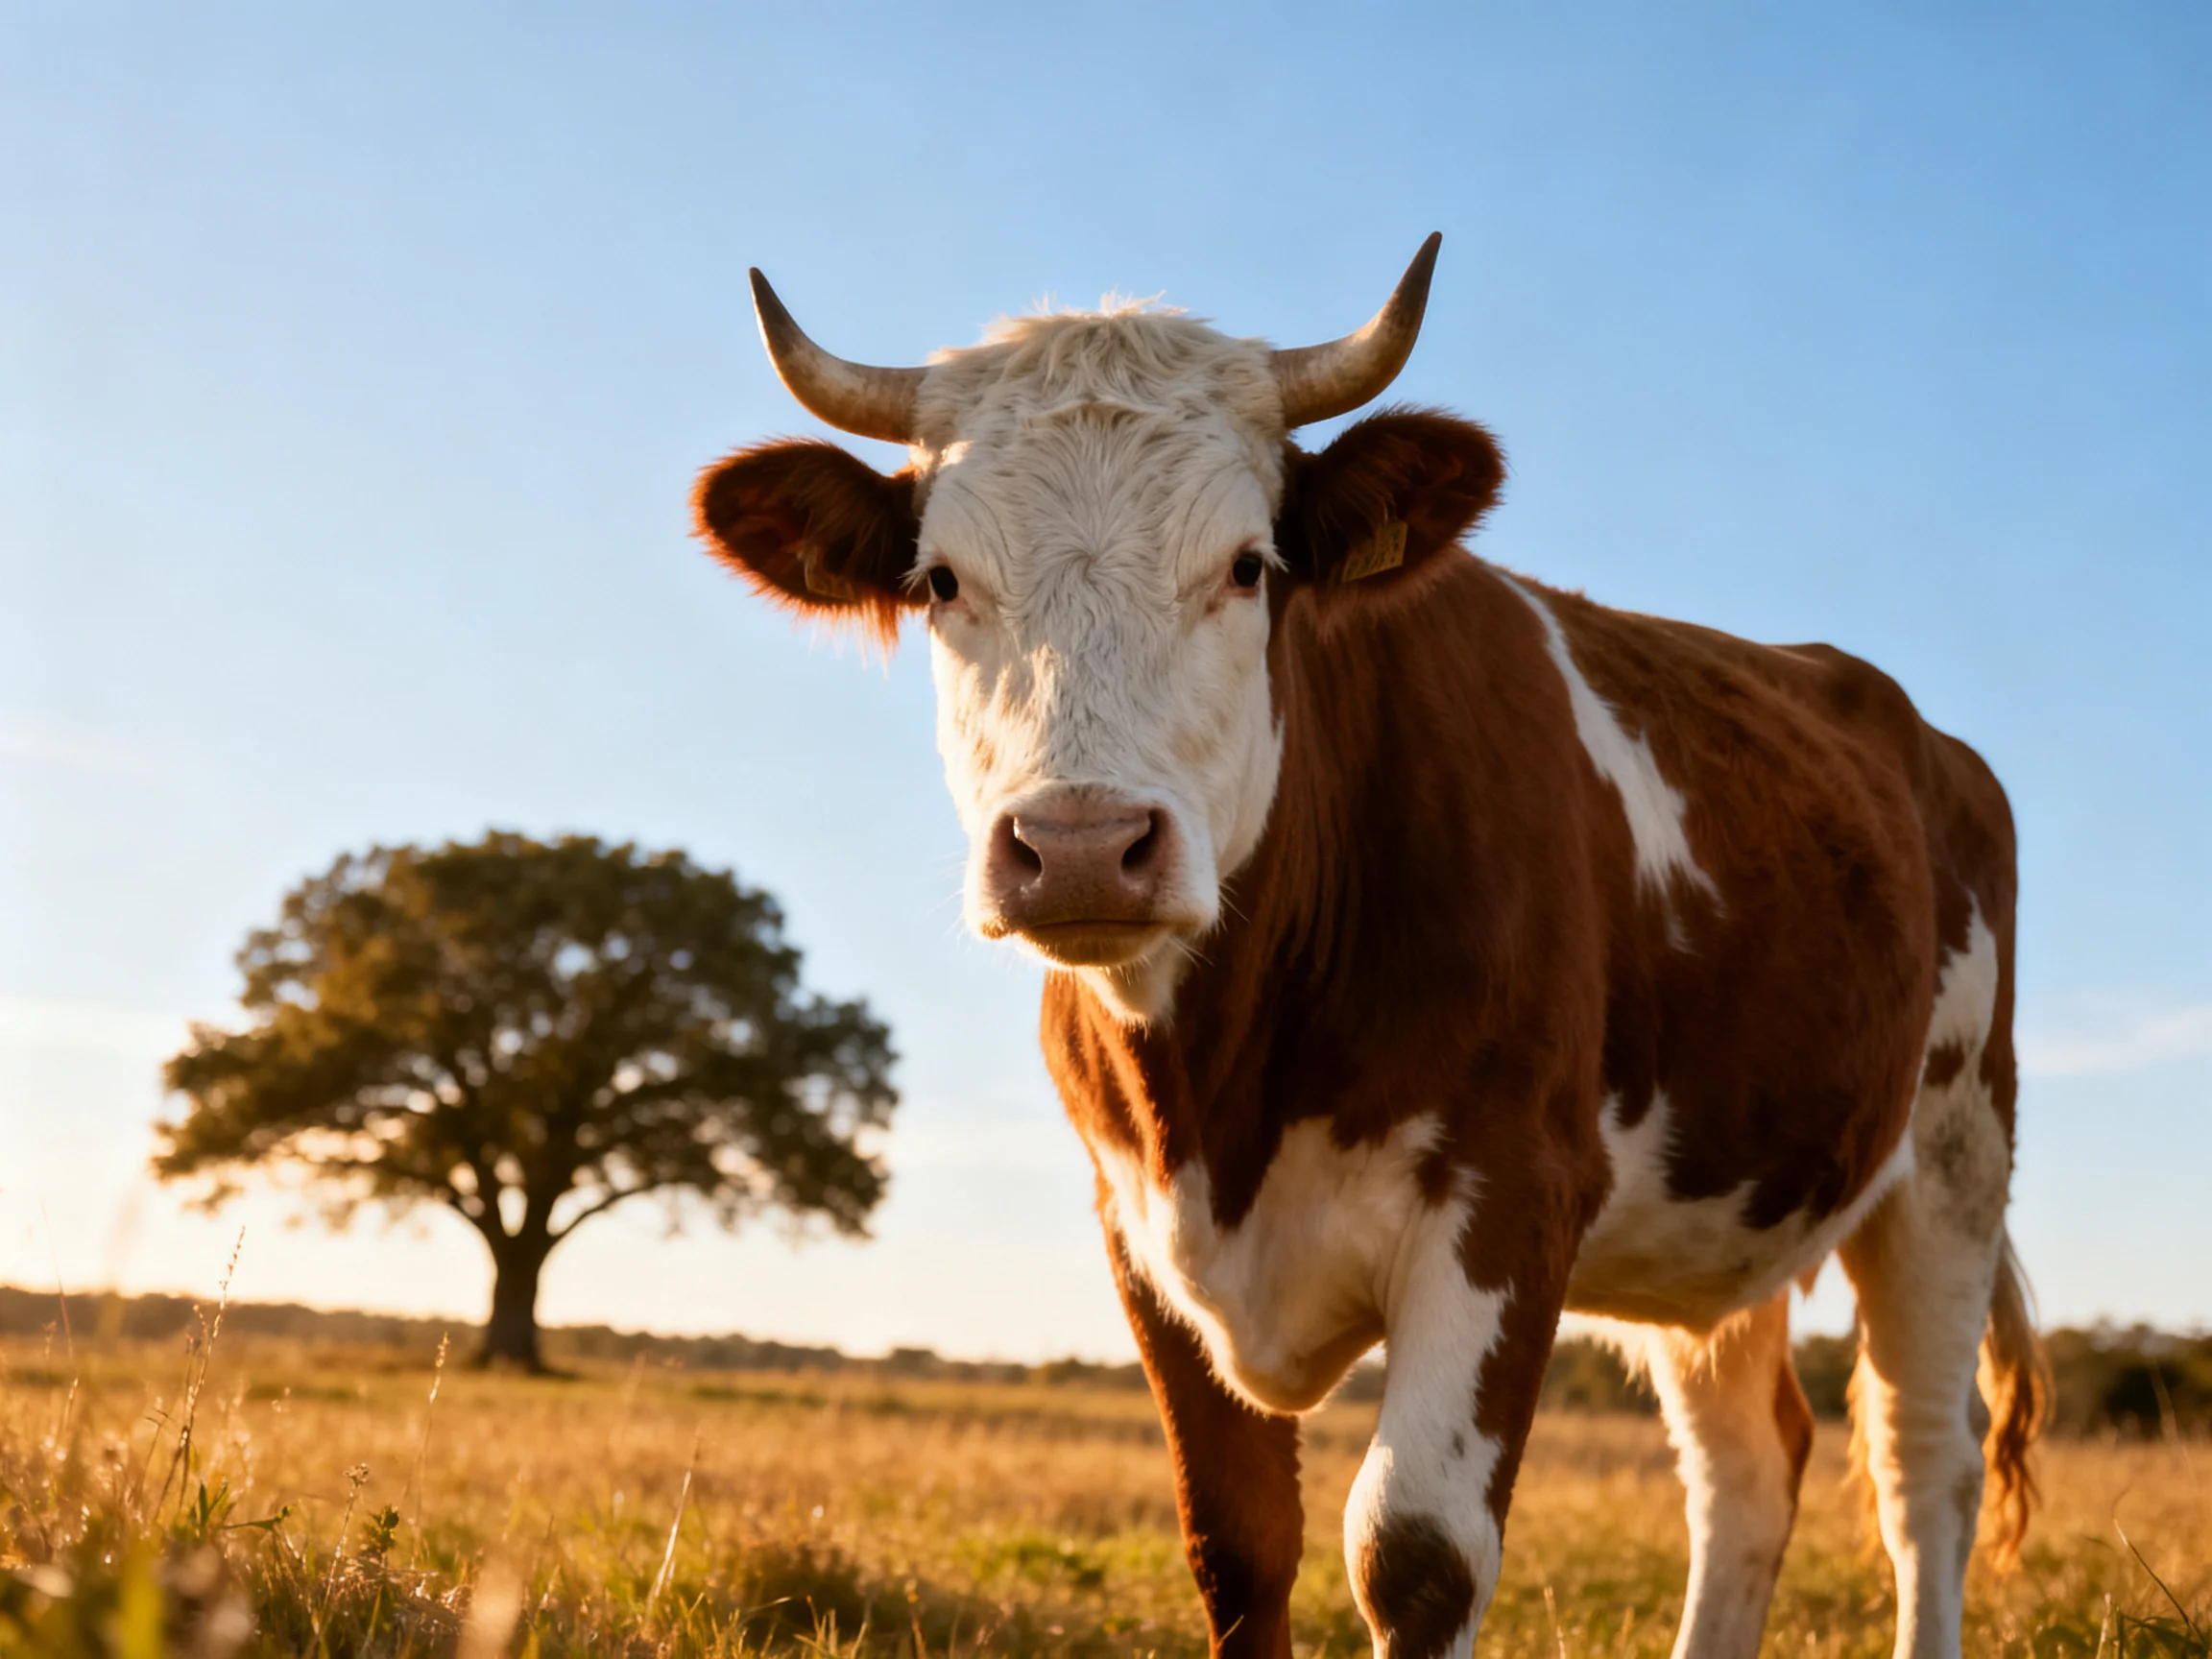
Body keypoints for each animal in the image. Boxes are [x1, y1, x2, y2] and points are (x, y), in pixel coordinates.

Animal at [692, 235, 2048, 1659]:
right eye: (941, 581)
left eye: (1248, 565)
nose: (1081, 844)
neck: (1222, 1091)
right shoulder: (1139, 1235)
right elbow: (1238, 1545)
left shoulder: (1511, 1195)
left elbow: (1416, 1554)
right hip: (1719, 1213)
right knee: (1747, 1465)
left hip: (1952, 1155)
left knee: (1922, 1463)